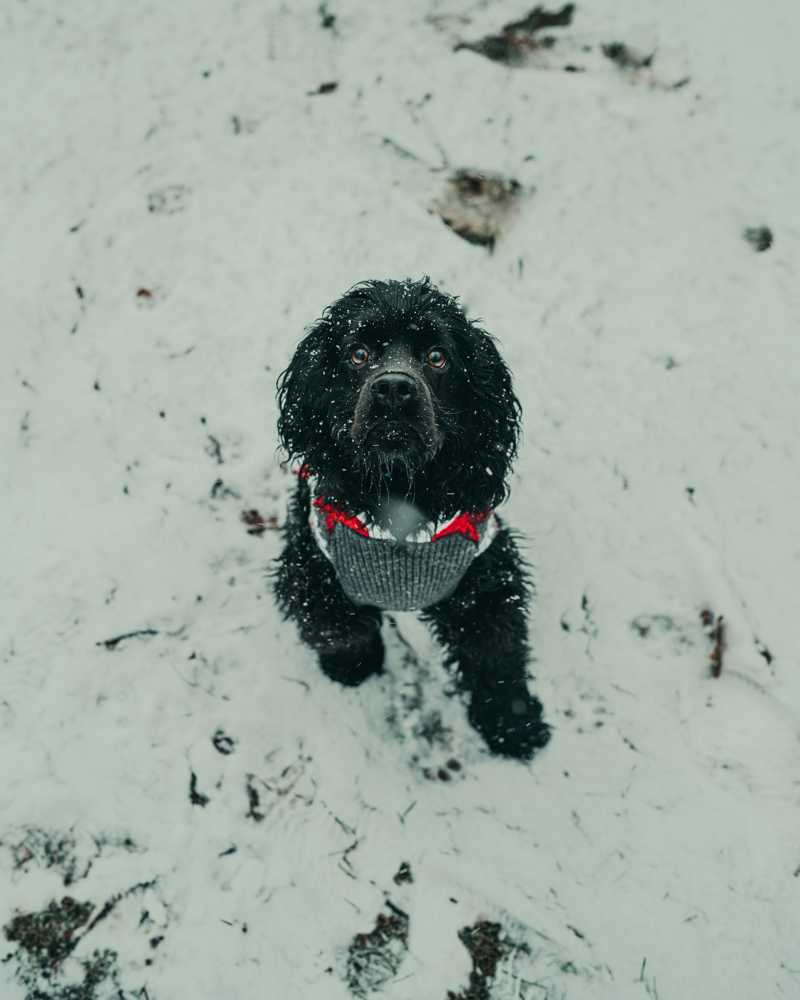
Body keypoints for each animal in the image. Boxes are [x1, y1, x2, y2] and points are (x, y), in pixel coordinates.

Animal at [276, 276, 552, 756]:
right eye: (358, 353)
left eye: (437, 357)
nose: (393, 388)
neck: (397, 494)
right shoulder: (313, 562)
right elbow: (341, 626)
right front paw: (354, 666)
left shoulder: (486, 577)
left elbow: (496, 654)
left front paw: (512, 724)